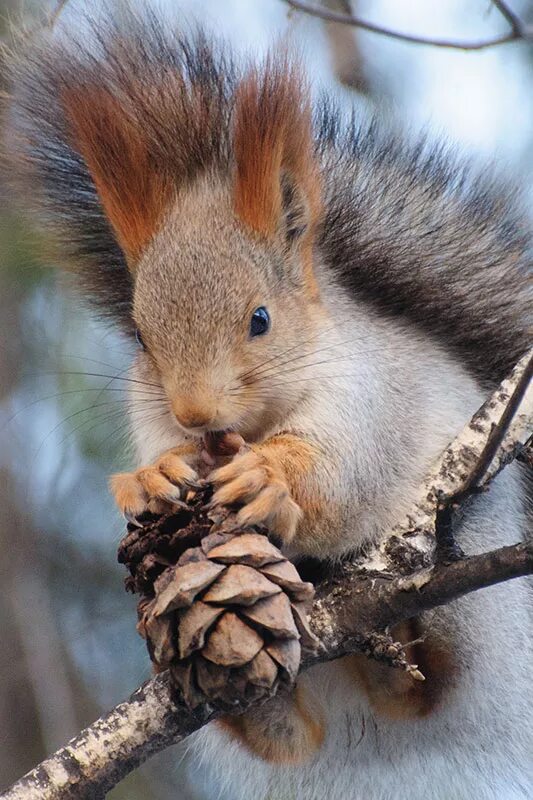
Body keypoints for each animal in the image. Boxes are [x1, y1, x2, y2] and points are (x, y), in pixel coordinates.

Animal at [5, 10, 532, 800]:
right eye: (142, 334)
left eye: (260, 319)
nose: (194, 415)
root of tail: (366, 733)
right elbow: (151, 462)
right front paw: (150, 477)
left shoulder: (369, 402)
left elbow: (338, 481)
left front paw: (269, 477)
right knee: (278, 727)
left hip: (473, 589)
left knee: (434, 679)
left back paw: (406, 647)